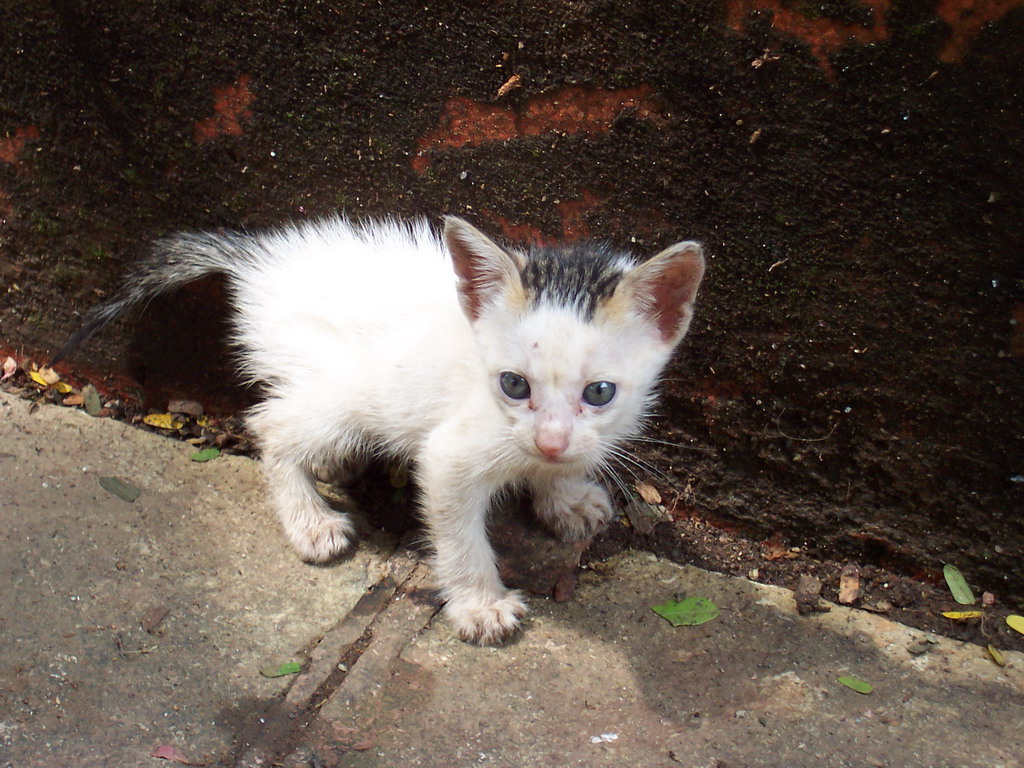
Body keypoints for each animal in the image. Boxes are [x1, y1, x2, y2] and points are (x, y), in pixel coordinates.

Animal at [56, 215, 704, 643]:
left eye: (600, 392)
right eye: (513, 384)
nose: (550, 442)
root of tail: (261, 264)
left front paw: (566, 497)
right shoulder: (451, 452)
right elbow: (457, 528)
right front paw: (480, 605)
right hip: (345, 393)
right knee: (273, 423)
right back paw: (309, 521)